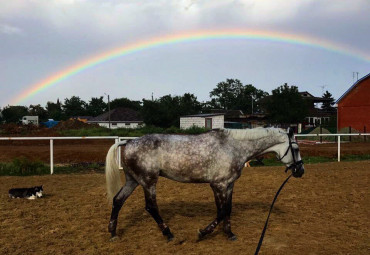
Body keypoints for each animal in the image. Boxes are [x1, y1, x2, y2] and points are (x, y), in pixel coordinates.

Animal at [104, 127, 304, 241]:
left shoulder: (226, 185)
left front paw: (229, 234)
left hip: (133, 181)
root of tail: (128, 143)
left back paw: (113, 233)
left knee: (118, 200)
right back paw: (168, 234)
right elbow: (222, 211)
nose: (300, 171)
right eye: (295, 148)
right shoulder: (220, 185)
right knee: (151, 207)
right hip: (148, 181)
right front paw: (202, 233)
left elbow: (226, 209)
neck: (232, 147)